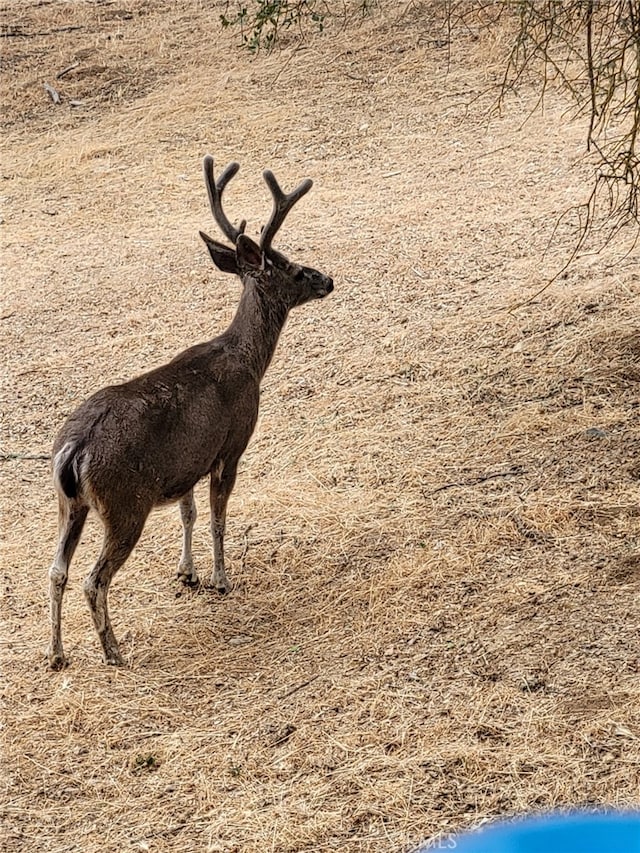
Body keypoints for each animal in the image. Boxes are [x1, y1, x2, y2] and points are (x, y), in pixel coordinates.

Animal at [47, 156, 332, 668]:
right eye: (295, 270)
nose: (327, 279)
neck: (248, 359)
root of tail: (73, 450)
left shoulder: (186, 463)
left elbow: (189, 512)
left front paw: (188, 573)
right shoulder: (232, 443)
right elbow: (218, 516)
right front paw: (220, 579)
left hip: (69, 503)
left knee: (55, 570)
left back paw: (57, 654)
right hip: (124, 503)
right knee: (93, 579)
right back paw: (113, 651)